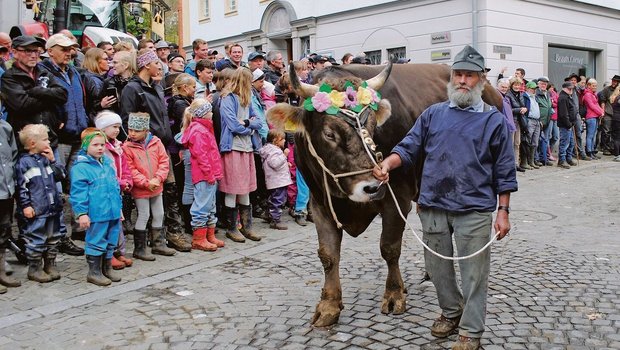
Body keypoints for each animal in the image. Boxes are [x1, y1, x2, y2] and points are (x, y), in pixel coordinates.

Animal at [266, 61, 504, 326]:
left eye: (372, 126)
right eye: (329, 133)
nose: (372, 187)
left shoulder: (396, 198)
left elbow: (389, 248)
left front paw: (394, 294)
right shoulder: (319, 203)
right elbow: (328, 255)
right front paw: (329, 305)